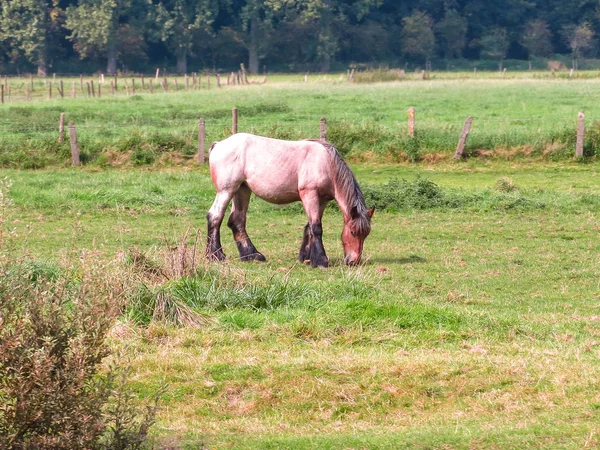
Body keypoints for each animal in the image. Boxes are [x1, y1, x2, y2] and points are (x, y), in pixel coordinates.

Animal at [206, 133, 376, 268]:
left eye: (366, 234)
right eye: (353, 232)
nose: (353, 261)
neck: (326, 163)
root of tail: (218, 144)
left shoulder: (322, 200)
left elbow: (310, 226)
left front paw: (306, 257)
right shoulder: (309, 194)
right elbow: (316, 227)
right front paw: (321, 261)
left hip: (242, 190)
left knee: (237, 221)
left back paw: (251, 255)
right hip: (226, 190)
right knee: (215, 216)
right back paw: (216, 255)